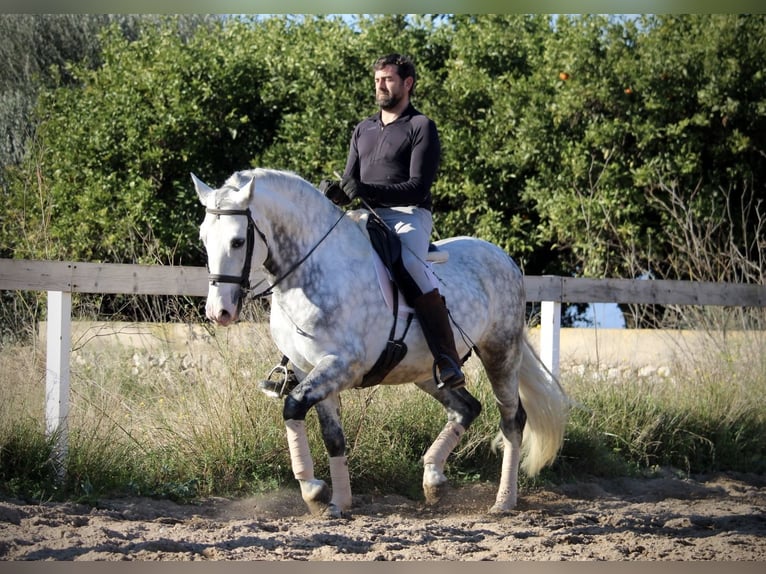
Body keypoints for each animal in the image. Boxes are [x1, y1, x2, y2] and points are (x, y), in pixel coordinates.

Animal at [193, 167, 569, 517]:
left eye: (237, 241)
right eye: (204, 239)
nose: (219, 312)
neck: (311, 271)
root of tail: (503, 258)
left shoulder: (341, 365)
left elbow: (294, 406)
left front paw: (314, 491)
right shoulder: (307, 368)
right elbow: (333, 436)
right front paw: (339, 503)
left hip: (500, 352)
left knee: (512, 419)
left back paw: (503, 501)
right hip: (426, 372)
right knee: (466, 408)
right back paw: (433, 480)